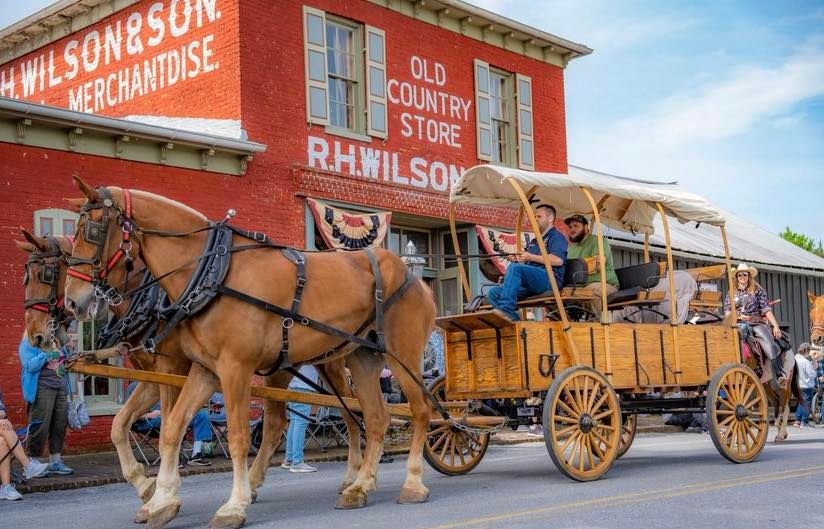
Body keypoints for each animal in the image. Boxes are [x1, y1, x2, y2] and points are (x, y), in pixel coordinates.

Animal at [16, 226, 360, 516]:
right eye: (26, 276)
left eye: (44, 273)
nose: (36, 336)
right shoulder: (154, 376)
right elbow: (120, 424)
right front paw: (147, 485)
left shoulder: (173, 370)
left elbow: (169, 426)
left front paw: (161, 491)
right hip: (282, 366)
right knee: (276, 424)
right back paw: (254, 483)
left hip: (330, 361)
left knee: (350, 412)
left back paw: (352, 476)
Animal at [62, 177, 438, 528]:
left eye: (92, 229)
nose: (73, 301)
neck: (209, 275)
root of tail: (416, 278)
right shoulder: (205, 369)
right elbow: (171, 428)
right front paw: (161, 499)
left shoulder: (230, 368)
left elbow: (238, 437)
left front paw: (233, 505)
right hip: (360, 359)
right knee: (373, 418)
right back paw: (359, 486)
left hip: (401, 355)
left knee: (419, 410)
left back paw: (411, 482)